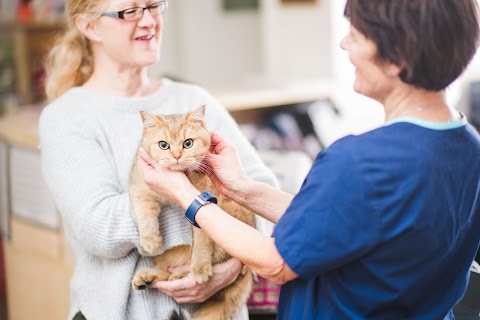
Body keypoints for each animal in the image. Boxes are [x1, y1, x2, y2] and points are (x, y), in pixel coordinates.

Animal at [127, 105, 255, 320]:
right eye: (163, 145)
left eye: (188, 143)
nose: (177, 155)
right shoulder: (139, 189)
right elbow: (145, 214)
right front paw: (150, 240)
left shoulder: (207, 207)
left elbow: (202, 243)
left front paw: (201, 267)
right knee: (165, 271)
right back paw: (149, 277)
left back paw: (181, 275)